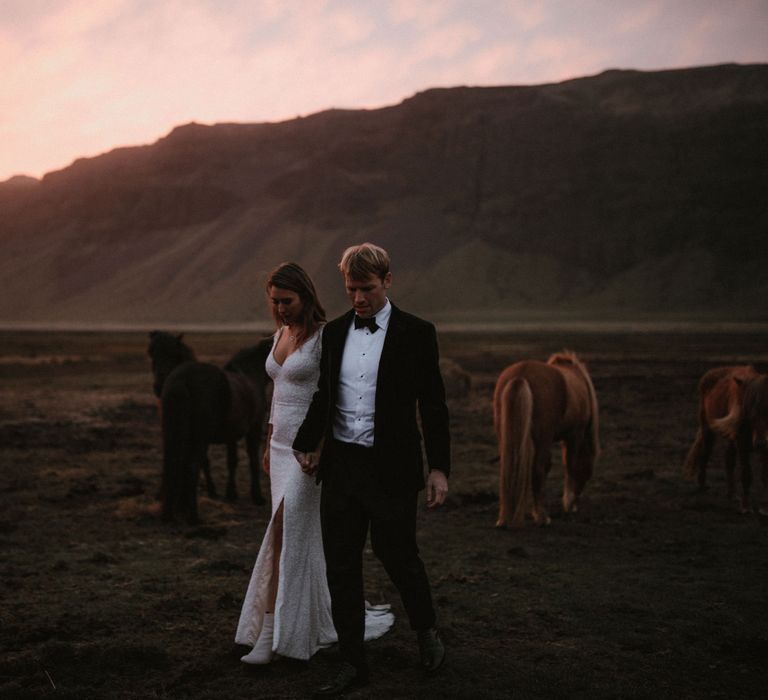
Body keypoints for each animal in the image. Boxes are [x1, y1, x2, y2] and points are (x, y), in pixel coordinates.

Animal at [148, 330, 272, 524]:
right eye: (152, 353)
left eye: (172, 354)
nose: (158, 387)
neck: (250, 376)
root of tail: (181, 378)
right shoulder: (254, 428)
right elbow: (252, 461)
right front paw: (257, 497)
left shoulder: (231, 435)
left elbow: (231, 461)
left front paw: (230, 493)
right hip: (199, 438)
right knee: (191, 466)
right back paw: (193, 517)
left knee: (175, 465)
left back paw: (173, 512)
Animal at [492, 352, 600, 528]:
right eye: (588, 468)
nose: (575, 504)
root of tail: (521, 374)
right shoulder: (574, 434)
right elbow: (570, 464)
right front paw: (568, 501)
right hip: (543, 438)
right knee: (537, 469)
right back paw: (543, 517)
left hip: (505, 435)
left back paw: (505, 518)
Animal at [684, 366, 768, 516]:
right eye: (751, 415)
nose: (760, 443)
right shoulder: (742, 445)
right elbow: (746, 475)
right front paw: (745, 507)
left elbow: (765, 476)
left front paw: (764, 508)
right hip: (707, 429)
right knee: (705, 453)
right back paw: (702, 485)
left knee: (729, 459)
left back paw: (732, 494)